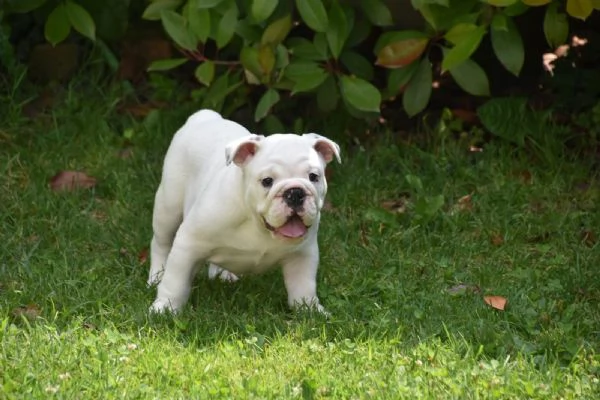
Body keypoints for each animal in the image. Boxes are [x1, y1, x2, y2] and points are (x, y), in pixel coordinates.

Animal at [148, 109, 340, 312]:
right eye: (267, 181)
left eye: (314, 177)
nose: (295, 193)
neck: (257, 223)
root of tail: (204, 116)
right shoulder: (188, 242)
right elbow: (175, 281)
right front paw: (165, 308)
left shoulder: (301, 255)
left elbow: (303, 286)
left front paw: (310, 310)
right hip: (168, 207)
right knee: (161, 243)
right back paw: (156, 276)